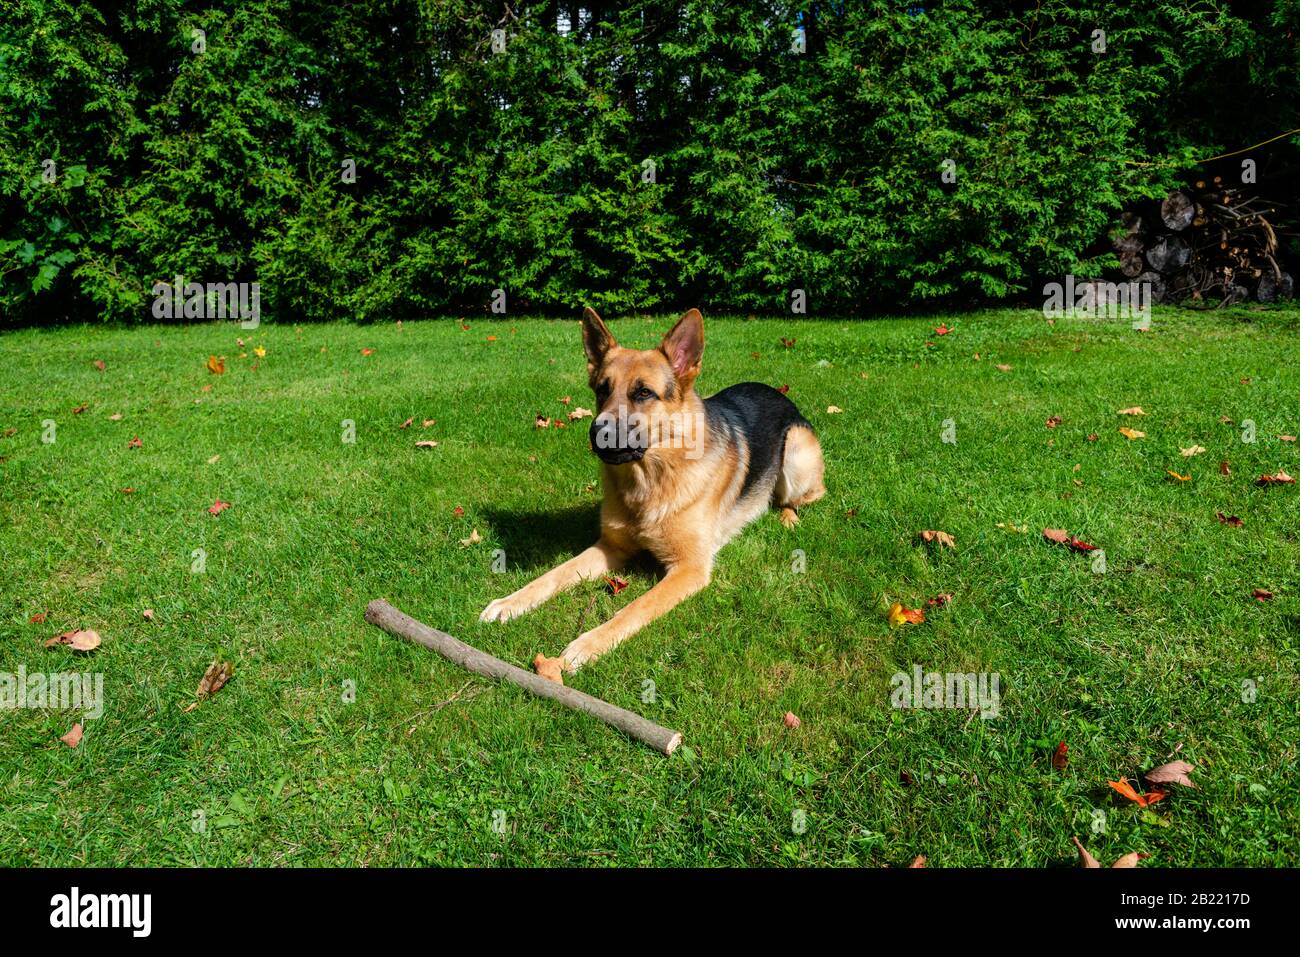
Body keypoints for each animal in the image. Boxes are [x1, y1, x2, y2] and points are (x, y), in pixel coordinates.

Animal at [478, 306, 821, 670]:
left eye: (643, 393)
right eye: (602, 390)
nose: (596, 433)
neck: (650, 480)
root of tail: (778, 392)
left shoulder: (688, 569)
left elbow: (635, 608)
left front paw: (589, 643)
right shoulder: (609, 548)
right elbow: (554, 574)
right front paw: (510, 602)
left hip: (796, 452)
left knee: (796, 498)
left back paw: (787, 517)